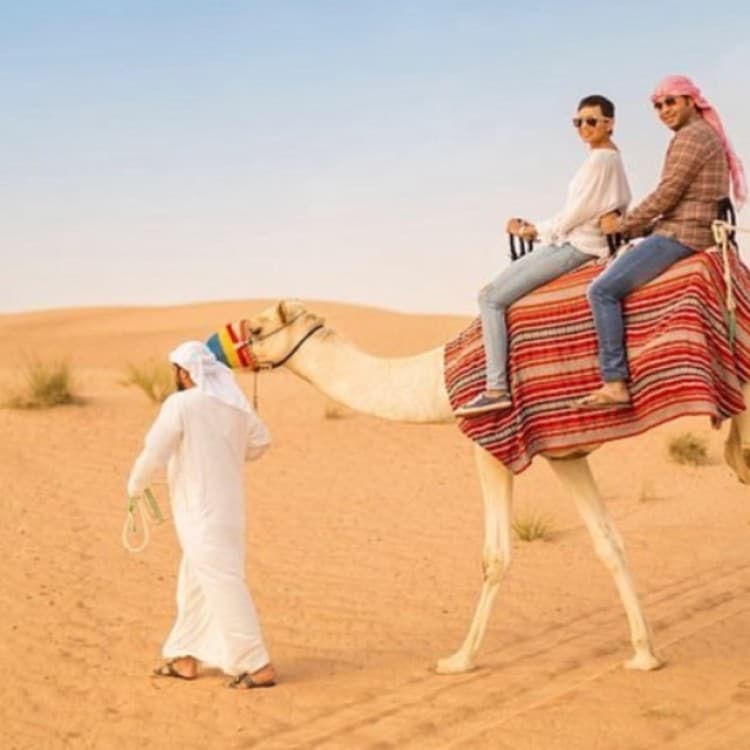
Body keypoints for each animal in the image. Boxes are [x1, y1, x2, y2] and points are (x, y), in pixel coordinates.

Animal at [218, 299, 750, 675]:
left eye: (259, 330)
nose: (220, 345)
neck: (438, 380)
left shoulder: (491, 444)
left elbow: (495, 557)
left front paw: (458, 659)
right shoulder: (564, 451)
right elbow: (608, 542)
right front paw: (645, 654)